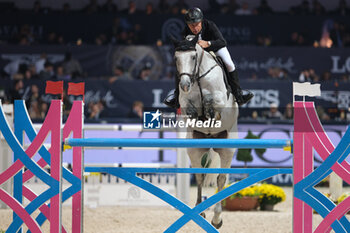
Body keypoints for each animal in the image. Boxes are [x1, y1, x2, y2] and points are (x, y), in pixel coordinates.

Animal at [174, 35, 239, 228]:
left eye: (193, 57)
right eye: (176, 58)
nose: (185, 85)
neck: (198, 77)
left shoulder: (220, 102)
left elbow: (212, 105)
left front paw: (208, 114)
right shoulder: (186, 104)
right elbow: (192, 110)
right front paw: (200, 118)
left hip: (227, 151)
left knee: (221, 179)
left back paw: (217, 218)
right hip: (194, 151)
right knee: (200, 177)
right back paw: (199, 210)